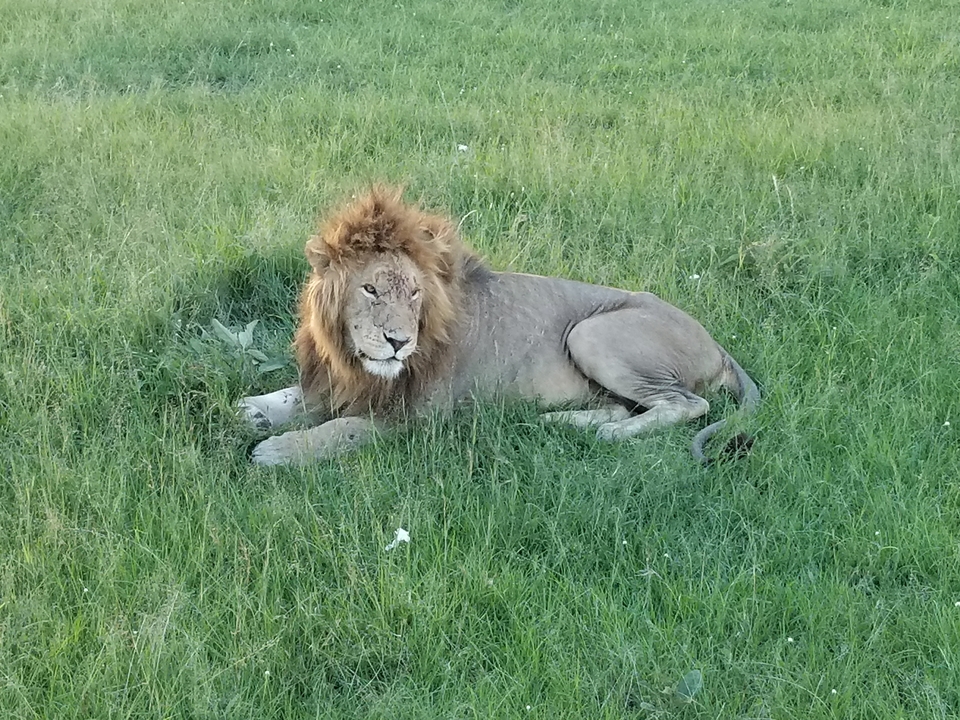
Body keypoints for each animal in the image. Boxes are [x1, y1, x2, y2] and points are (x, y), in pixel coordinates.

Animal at [239, 187, 759, 466]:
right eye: (370, 290)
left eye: (414, 293)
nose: (398, 342)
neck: (353, 358)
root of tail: (718, 345)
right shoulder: (337, 379)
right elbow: (295, 397)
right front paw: (254, 410)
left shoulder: (419, 417)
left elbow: (344, 430)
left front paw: (278, 450)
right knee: (624, 406)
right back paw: (562, 423)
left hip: (589, 333)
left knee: (688, 404)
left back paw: (605, 436)